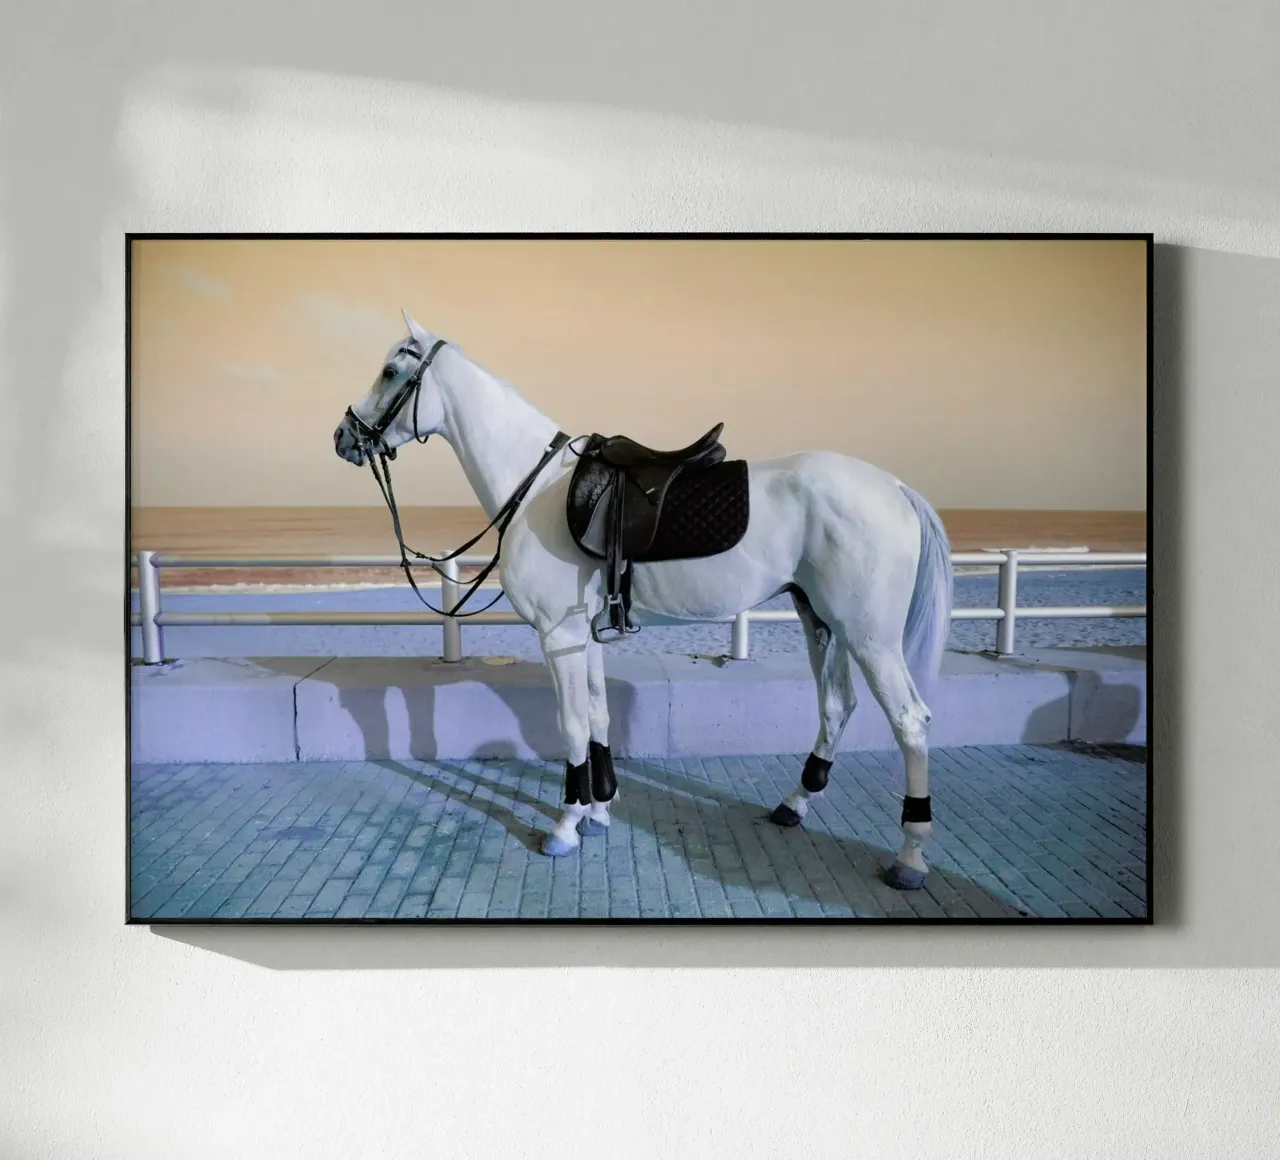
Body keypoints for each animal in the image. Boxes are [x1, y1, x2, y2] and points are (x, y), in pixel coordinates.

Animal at [333, 311, 954, 891]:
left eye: (390, 372)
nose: (343, 436)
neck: (536, 489)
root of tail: (896, 488)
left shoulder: (558, 638)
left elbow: (571, 727)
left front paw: (565, 827)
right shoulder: (584, 637)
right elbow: (598, 717)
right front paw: (599, 811)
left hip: (870, 637)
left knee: (910, 721)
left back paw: (909, 857)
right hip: (821, 621)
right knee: (836, 707)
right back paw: (793, 806)